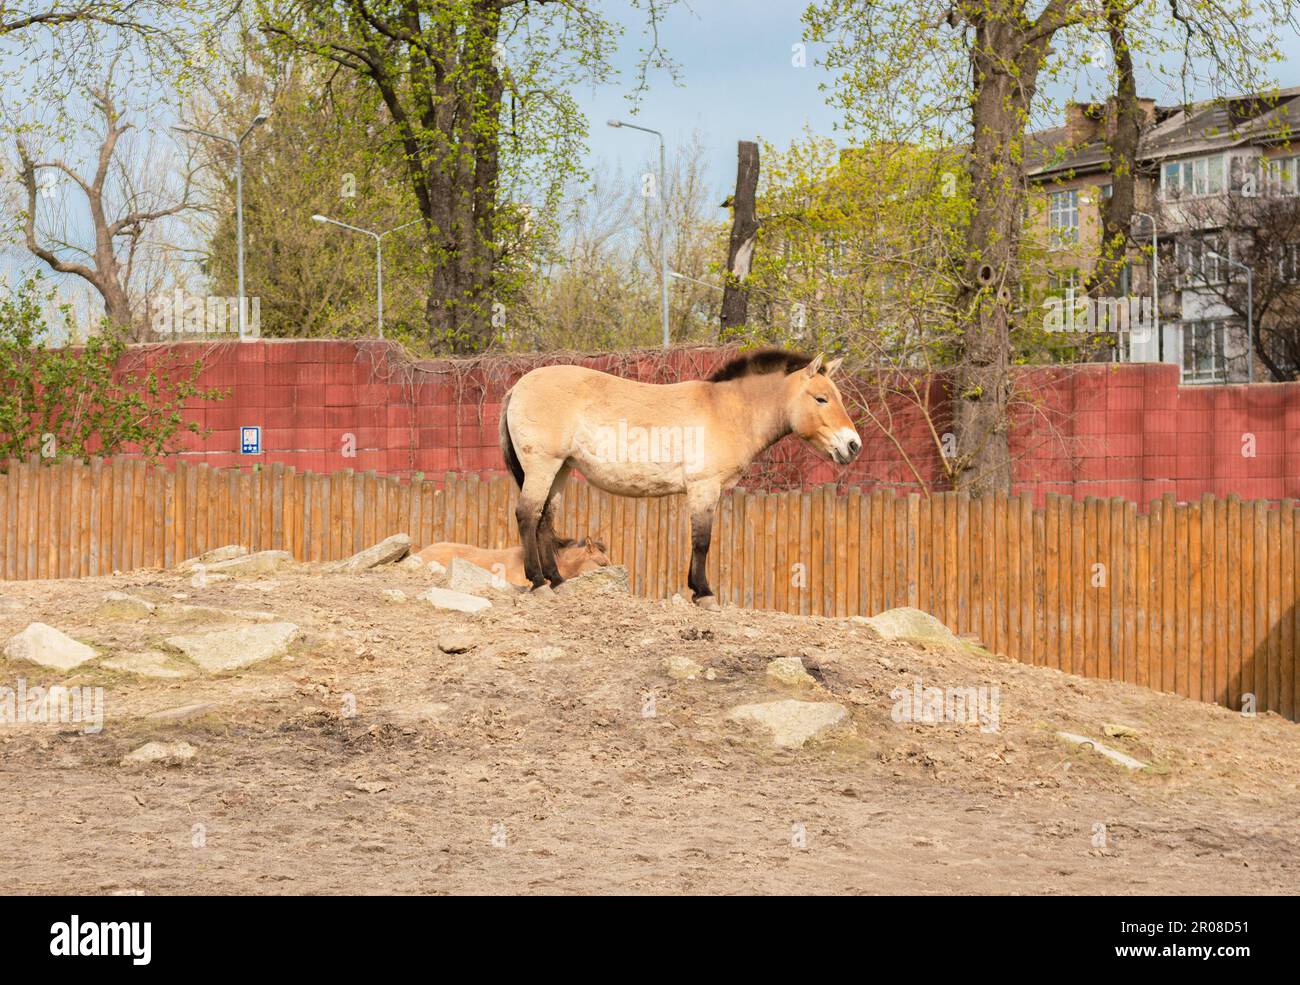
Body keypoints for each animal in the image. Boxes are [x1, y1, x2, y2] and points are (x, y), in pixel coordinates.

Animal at [499, 348, 863, 610]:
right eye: (821, 398)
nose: (853, 445)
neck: (727, 411)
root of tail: (517, 387)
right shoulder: (704, 487)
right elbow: (702, 541)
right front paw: (704, 593)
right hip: (543, 466)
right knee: (527, 515)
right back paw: (539, 583)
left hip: (560, 470)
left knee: (544, 521)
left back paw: (557, 581)